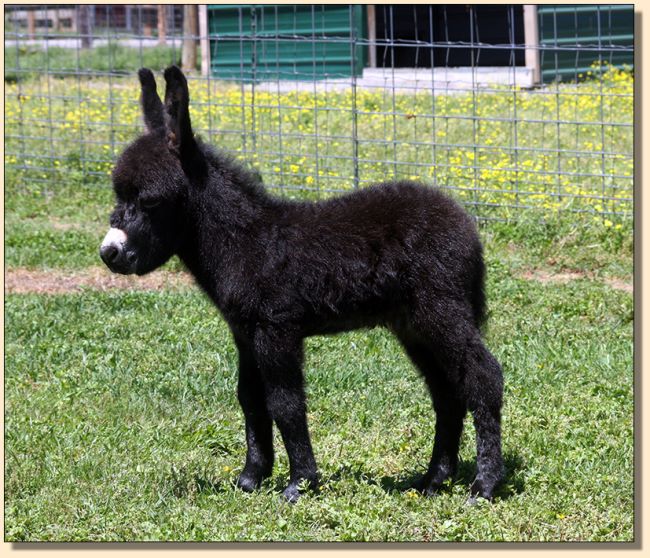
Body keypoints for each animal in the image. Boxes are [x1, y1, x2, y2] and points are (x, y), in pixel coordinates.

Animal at [98, 68, 504, 506]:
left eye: (150, 201)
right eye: (119, 195)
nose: (109, 253)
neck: (246, 240)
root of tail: (464, 222)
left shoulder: (276, 329)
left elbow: (286, 403)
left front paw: (299, 484)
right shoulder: (245, 332)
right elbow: (250, 400)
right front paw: (251, 479)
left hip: (440, 309)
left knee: (484, 377)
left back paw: (483, 486)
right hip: (412, 324)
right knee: (446, 393)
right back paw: (434, 481)